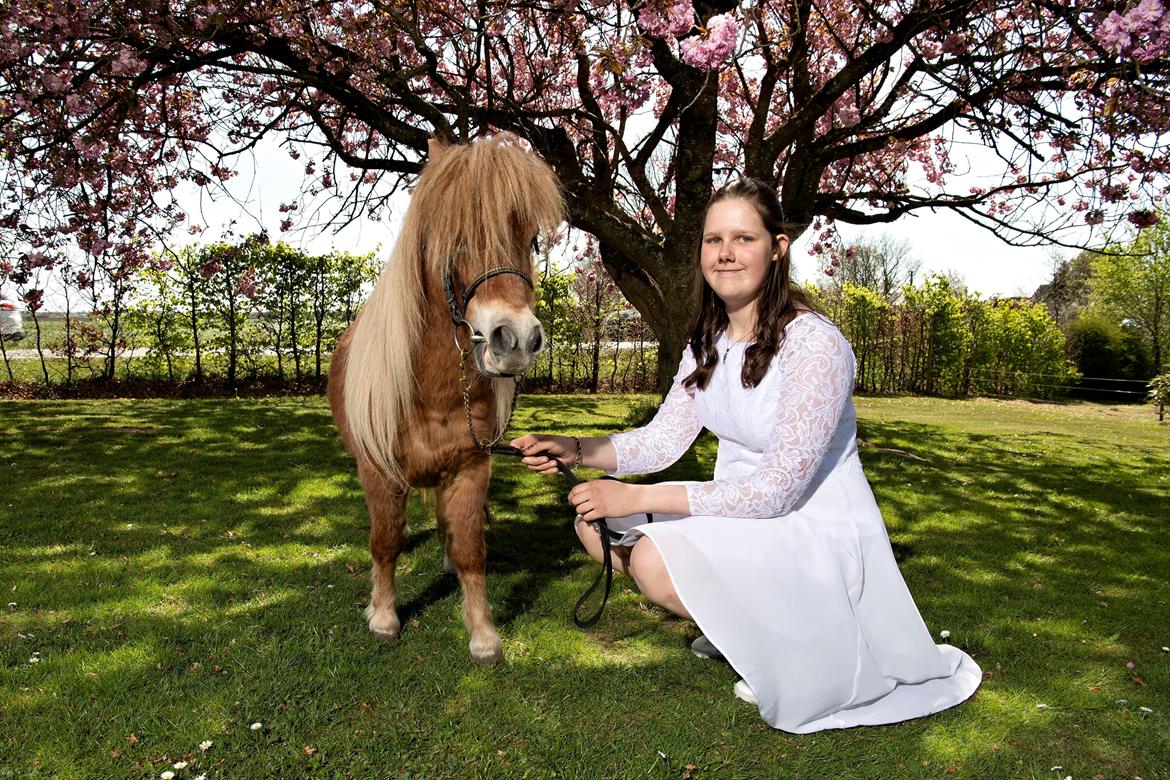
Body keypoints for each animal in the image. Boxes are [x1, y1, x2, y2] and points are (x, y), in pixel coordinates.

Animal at [327, 135, 563, 664]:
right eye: (454, 239)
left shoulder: (471, 467)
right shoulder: (378, 473)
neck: (429, 395)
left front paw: (483, 634)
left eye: (531, 239)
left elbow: (471, 548)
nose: (516, 340)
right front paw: (384, 616)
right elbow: (385, 542)